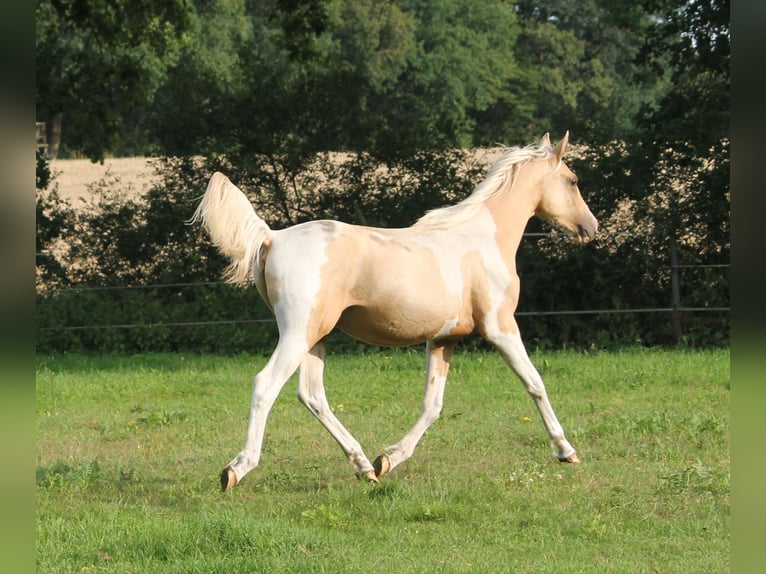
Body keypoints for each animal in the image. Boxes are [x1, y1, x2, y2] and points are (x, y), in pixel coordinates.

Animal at [194, 133, 600, 492]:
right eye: (573, 180)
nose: (591, 227)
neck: (482, 239)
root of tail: (272, 237)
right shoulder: (500, 328)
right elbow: (535, 383)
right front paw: (566, 450)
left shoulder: (443, 339)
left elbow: (432, 405)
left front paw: (388, 460)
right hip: (297, 333)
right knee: (266, 385)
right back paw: (236, 469)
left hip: (317, 336)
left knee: (312, 395)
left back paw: (363, 467)